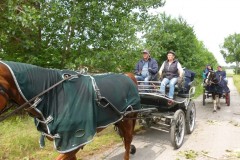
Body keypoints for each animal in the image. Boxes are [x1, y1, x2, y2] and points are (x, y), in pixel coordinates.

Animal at [0, 60, 141, 159]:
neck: (54, 95)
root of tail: (128, 76)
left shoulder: (73, 143)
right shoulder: (68, 145)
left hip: (128, 119)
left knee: (127, 143)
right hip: (120, 119)